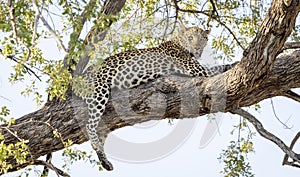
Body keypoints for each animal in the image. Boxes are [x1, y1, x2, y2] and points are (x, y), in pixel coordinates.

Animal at [73, 24, 237, 171]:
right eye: (191, 38)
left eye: (203, 39)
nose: (197, 48)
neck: (179, 43)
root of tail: (79, 78)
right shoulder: (197, 70)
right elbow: (218, 67)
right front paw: (235, 64)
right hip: (99, 91)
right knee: (90, 125)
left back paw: (105, 161)